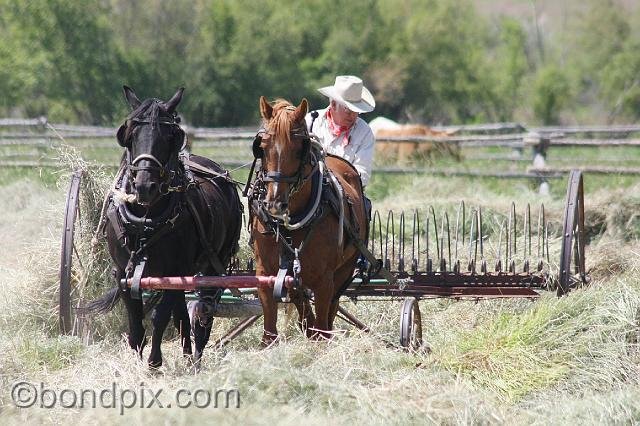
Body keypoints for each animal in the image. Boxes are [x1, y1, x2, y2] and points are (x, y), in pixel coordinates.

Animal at [85, 85, 242, 366]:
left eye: (171, 135)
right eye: (129, 134)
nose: (145, 186)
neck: (145, 220)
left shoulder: (173, 271)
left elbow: (160, 316)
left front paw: (154, 362)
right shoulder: (122, 271)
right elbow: (136, 322)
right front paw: (138, 358)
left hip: (214, 263)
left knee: (204, 309)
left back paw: (196, 356)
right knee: (182, 311)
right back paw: (187, 353)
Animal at [251, 96, 370, 342]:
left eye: (299, 150)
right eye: (262, 148)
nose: (275, 204)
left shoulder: (325, 281)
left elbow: (322, 327)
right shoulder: (265, 275)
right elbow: (270, 332)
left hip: (344, 270)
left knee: (330, 309)